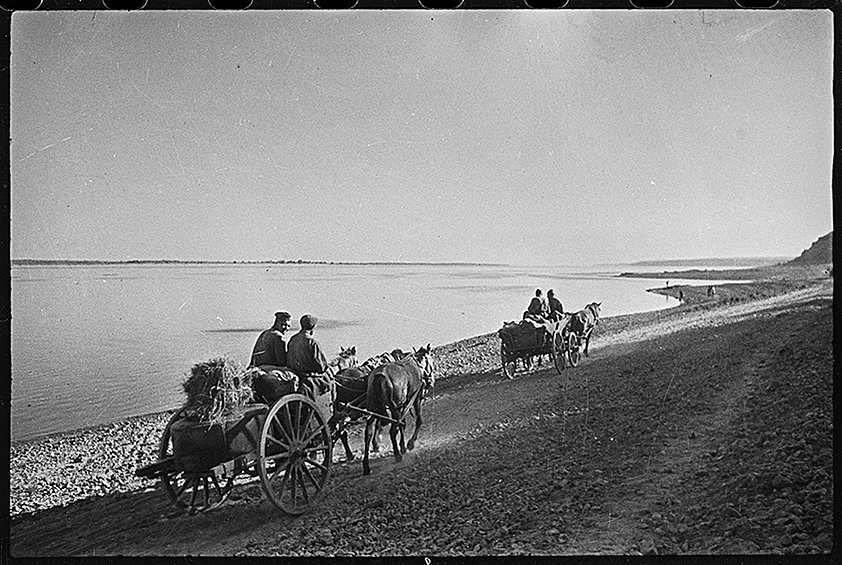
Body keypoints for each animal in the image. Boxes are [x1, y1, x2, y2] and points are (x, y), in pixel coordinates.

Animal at [360, 346, 434, 474]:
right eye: (432, 362)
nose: (431, 381)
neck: (417, 366)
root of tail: (380, 375)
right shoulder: (415, 399)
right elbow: (418, 421)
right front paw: (410, 444)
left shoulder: (403, 405)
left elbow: (403, 424)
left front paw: (403, 446)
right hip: (394, 408)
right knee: (392, 431)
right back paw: (397, 455)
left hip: (374, 410)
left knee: (368, 434)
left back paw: (366, 465)